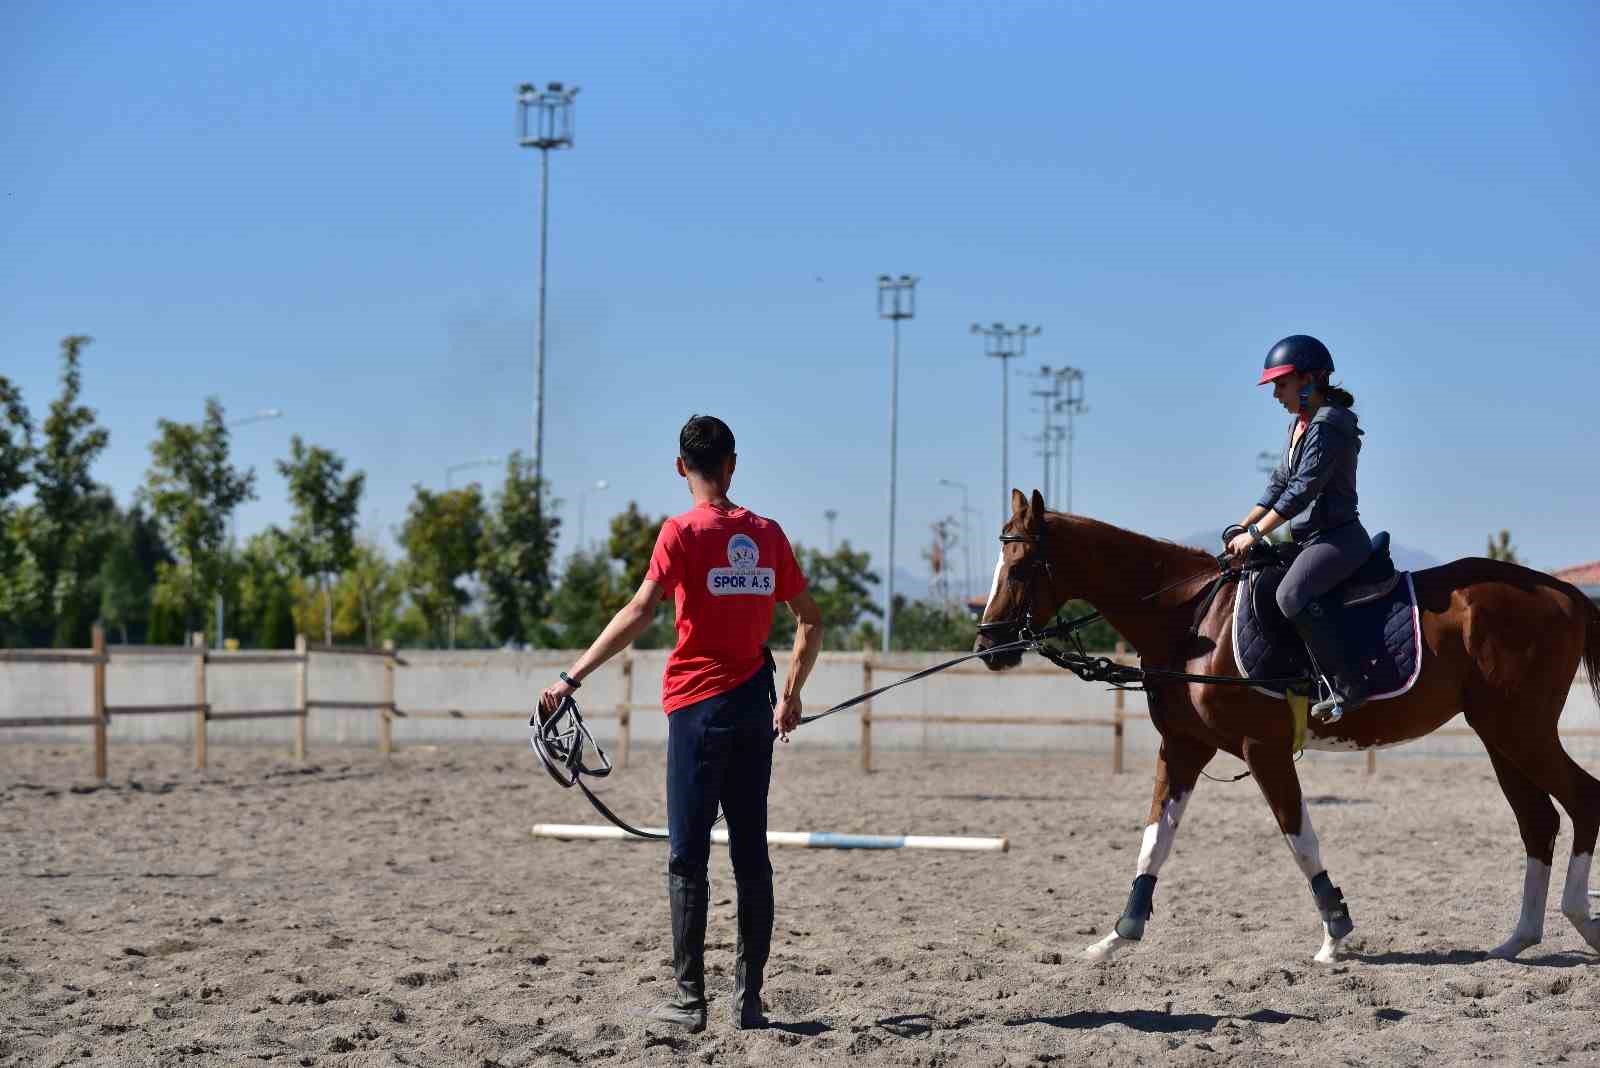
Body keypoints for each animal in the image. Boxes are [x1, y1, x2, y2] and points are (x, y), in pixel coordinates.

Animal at [966, 492, 1600, 965]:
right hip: (1499, 736)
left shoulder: (1262, 749)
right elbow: (1155, 839)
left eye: (1020, 568)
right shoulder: (1184, 747)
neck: (1192, 621)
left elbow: (1299, 837)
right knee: (1539, 821)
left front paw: (1335, 934)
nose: (989, 645)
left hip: (1520, 730)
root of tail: (1563, 592)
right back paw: (1518, 939)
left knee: (1582, 798)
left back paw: (1579, 919)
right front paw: (1117, 934)